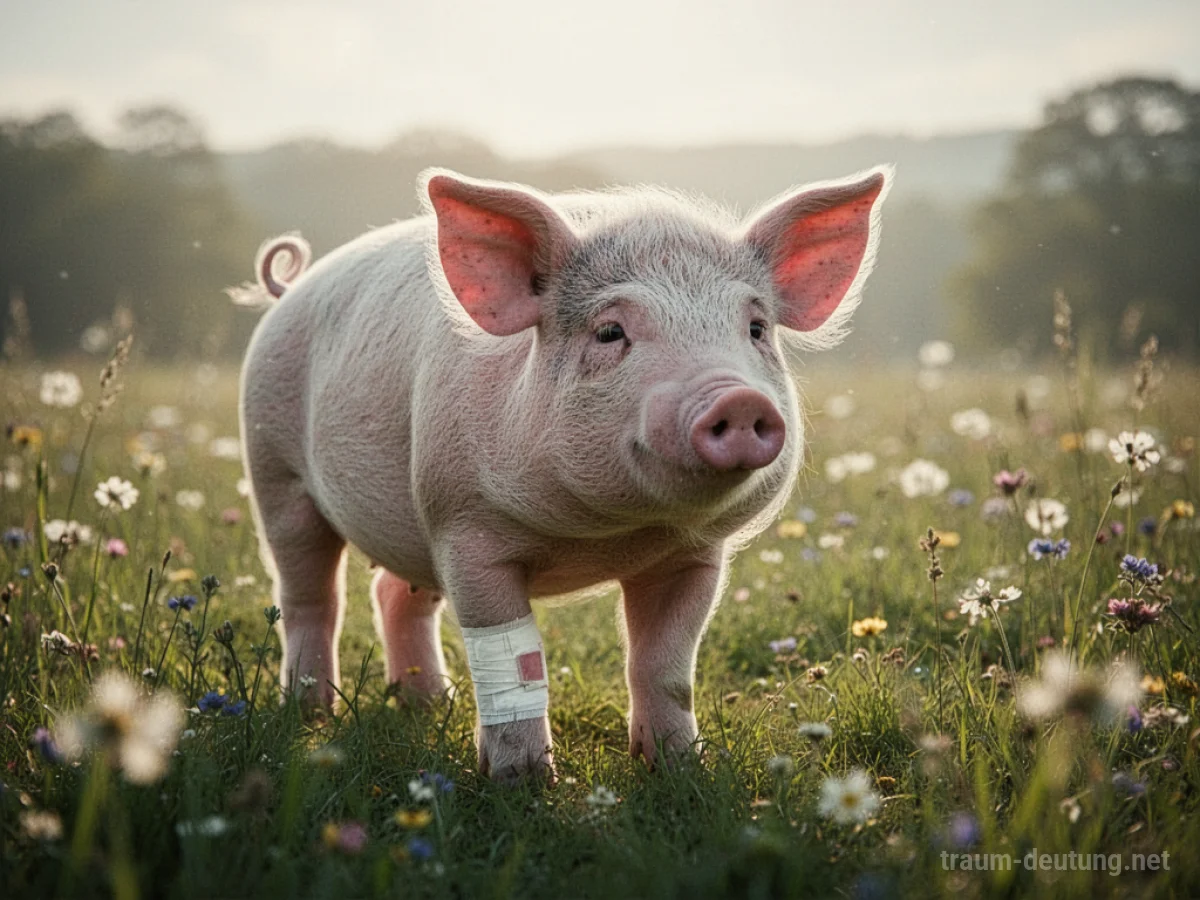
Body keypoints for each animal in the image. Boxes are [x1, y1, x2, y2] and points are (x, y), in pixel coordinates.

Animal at [235, 166, 890, 782]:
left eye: (754, 329)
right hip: (275, 470)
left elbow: (663, 664)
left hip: (408, 522)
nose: (739, 398)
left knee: (395, 593)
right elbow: (515, 659)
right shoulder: (465, 527)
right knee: (310, 595)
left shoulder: (694, 556)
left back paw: (430, 706)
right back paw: (310, 714)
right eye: (610, 331)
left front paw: (680, 770)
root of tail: (289, 289)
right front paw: (523, 783)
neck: (605, 535)